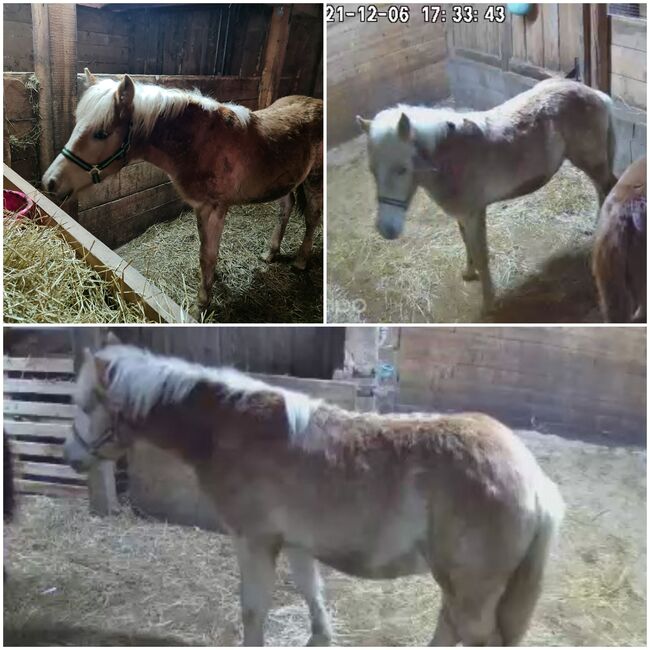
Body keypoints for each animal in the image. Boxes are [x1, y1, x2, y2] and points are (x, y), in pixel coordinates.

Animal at [42, 69, 322, 312]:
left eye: (101, 133)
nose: (49, 181)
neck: (202, 143)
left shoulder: (214, 209)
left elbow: (208, 255)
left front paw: (201, 304)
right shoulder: (201, 208)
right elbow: (205, 251)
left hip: (314, 180)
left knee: (312, 217)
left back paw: (300, 261)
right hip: (285, 181)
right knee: (286, 208)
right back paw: (270, 253)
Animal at [64, 334, 560, 644]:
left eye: (86, 404)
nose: (70, 455)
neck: (232, 428)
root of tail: (535, 483)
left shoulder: (254, 540)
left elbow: (253, 608)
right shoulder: (296, 542)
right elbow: (310, 590)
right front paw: (320, 635)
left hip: (473, 588)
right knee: (450, 625)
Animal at [356, 79, 616, 312]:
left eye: (402, 169)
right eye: (371, 170)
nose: (387, 229)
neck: (454, 157)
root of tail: (595, 94)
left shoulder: (474, 213)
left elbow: (481, 254)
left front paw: (488, 304)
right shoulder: (462, 214)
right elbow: (467, 244)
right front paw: (468, 273)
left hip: (590, 161)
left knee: (607, 187)